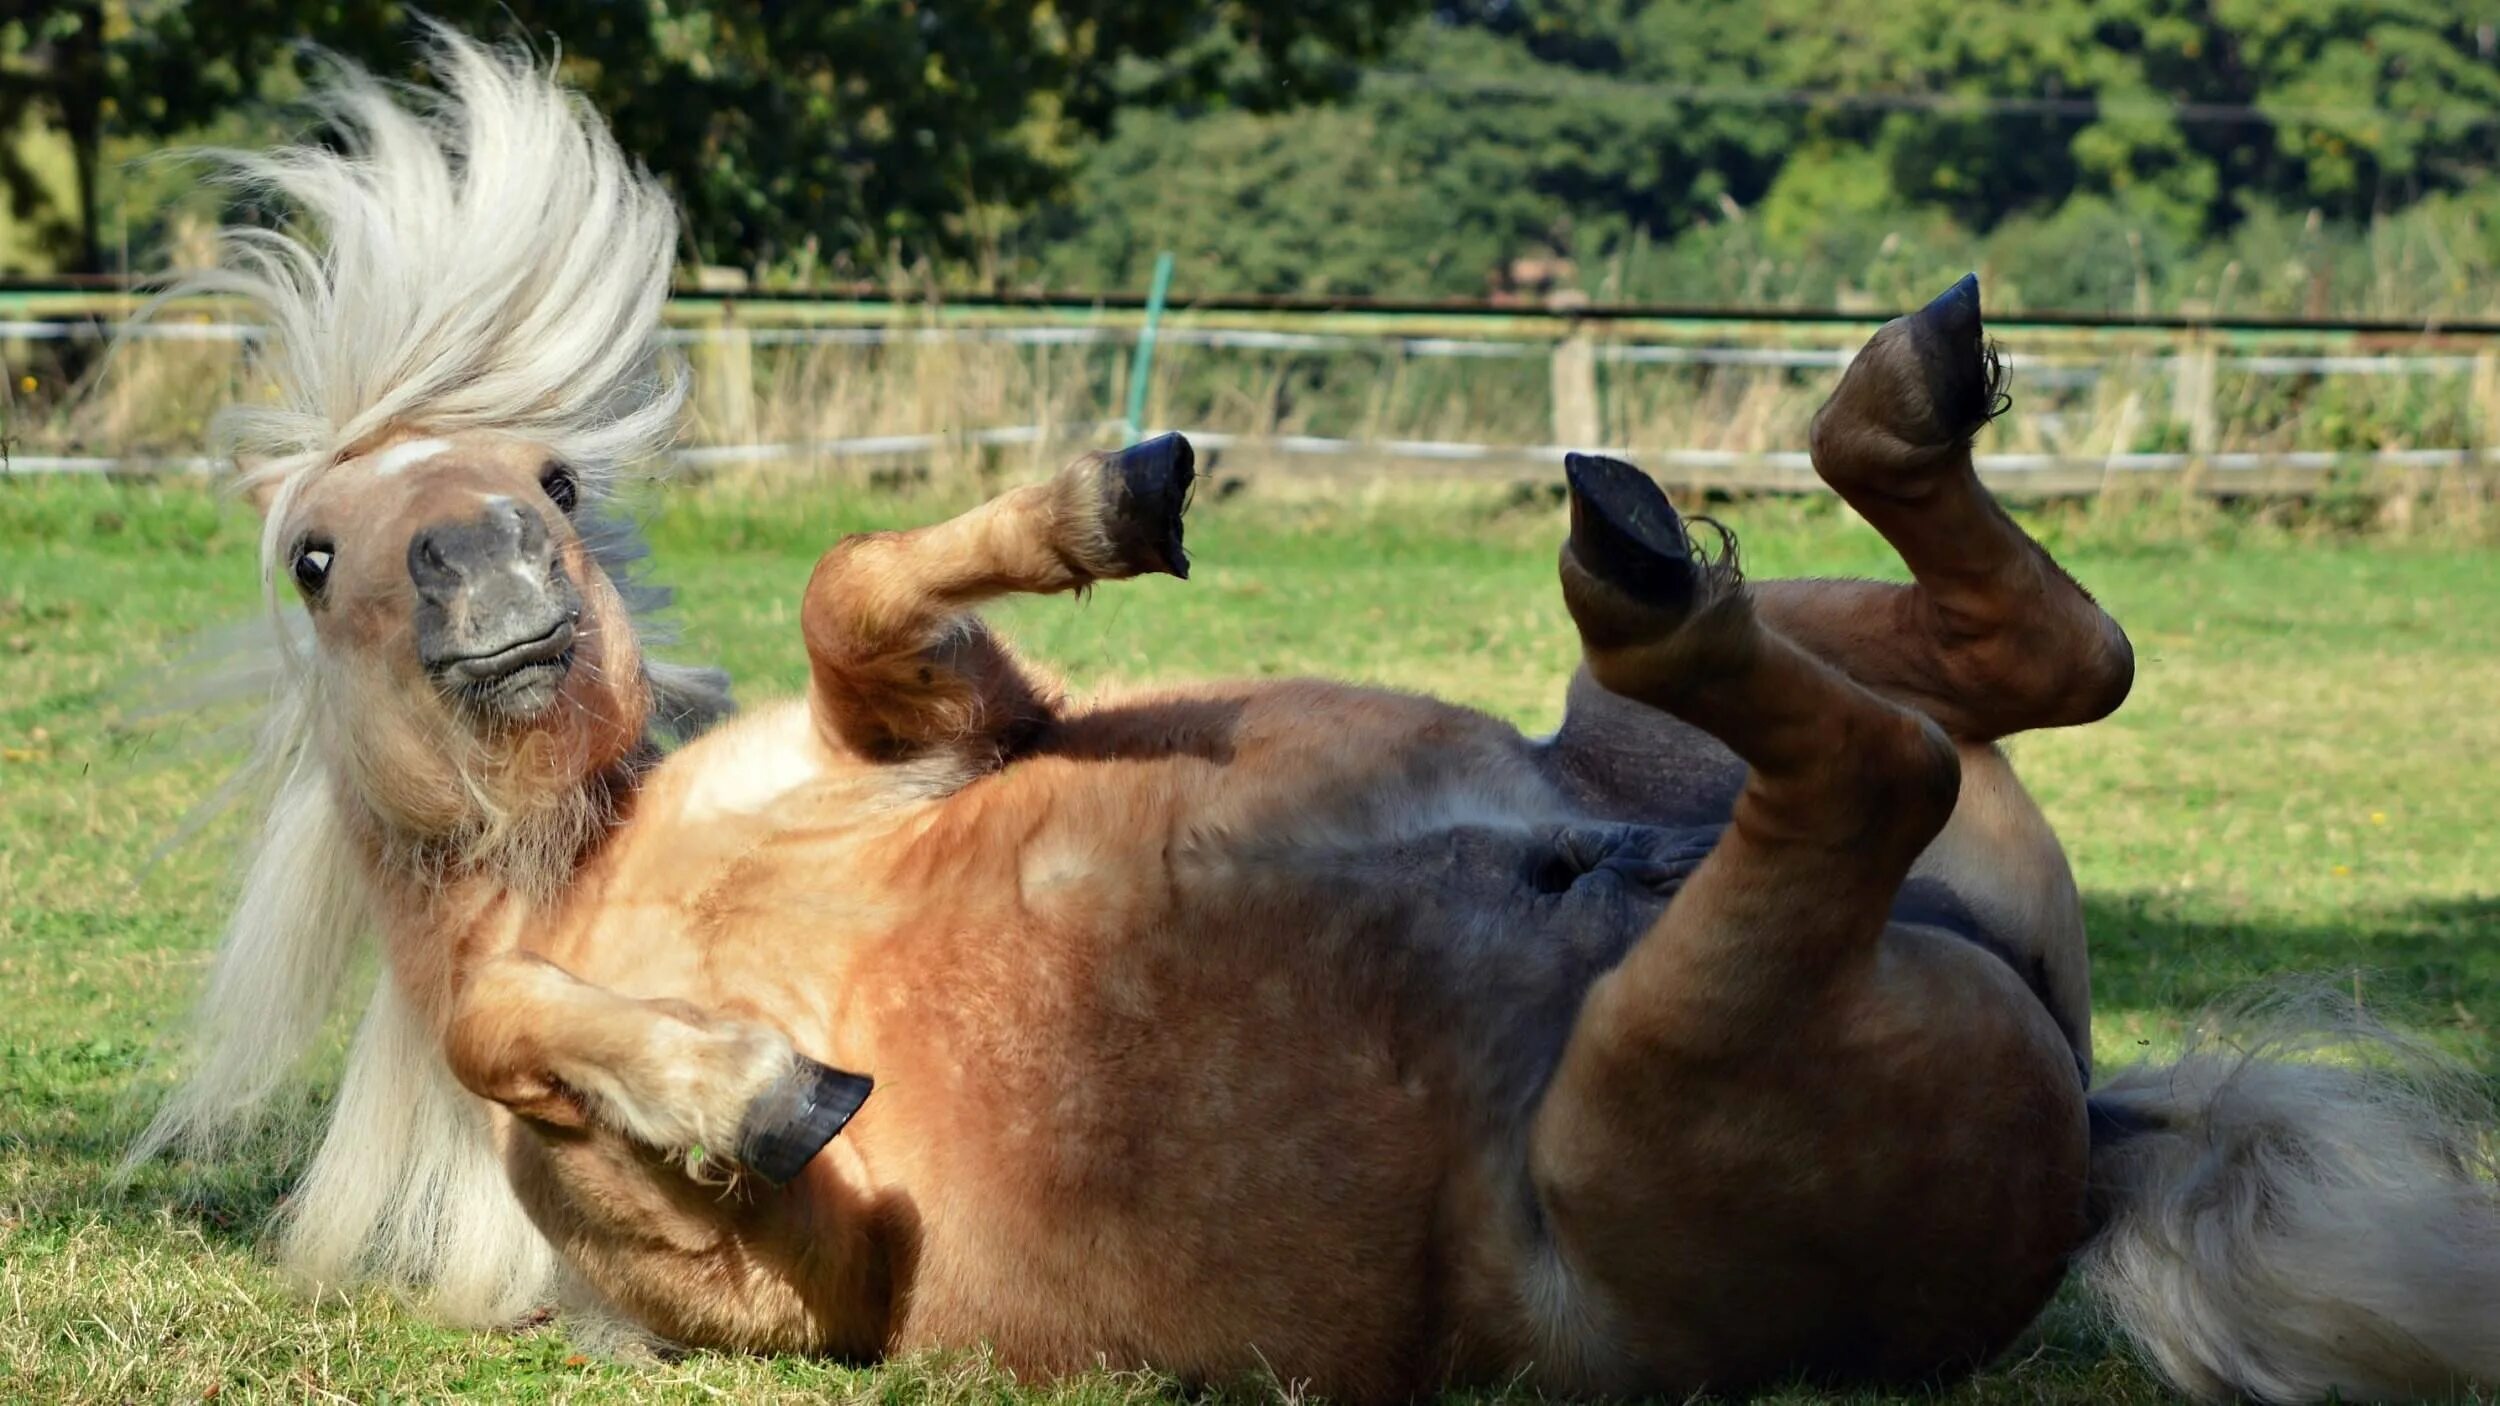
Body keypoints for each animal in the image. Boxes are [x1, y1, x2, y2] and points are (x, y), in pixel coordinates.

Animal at [131, 32, 2500, 1400]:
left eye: (550, 482)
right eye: (313, 556)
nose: (488, 572)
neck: (619, 872)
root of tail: (2099, 1116)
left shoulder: (928, 716)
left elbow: (858, 588)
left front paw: (1111, 497)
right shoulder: (797, 1294)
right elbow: (504, 1033)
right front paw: (740, 1086)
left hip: (1694, 791)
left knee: (2011, 678)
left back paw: (1820, 442)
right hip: (1642, 1082)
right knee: (1882, 760)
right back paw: (1677, 553)